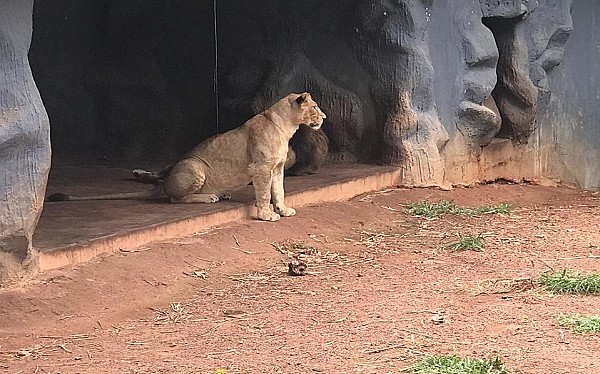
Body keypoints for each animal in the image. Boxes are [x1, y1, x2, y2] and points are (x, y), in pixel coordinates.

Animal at [47, 92, 326, 222]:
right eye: (314, 107)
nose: (324, 117)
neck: (287, 127)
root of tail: (165, 183)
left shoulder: (276, 168)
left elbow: (279, 191)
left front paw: (283, 209)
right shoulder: (260, 168)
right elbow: (264, 193)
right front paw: (266, 214)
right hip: (194, 165)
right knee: (174, 199)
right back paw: (209, 196)